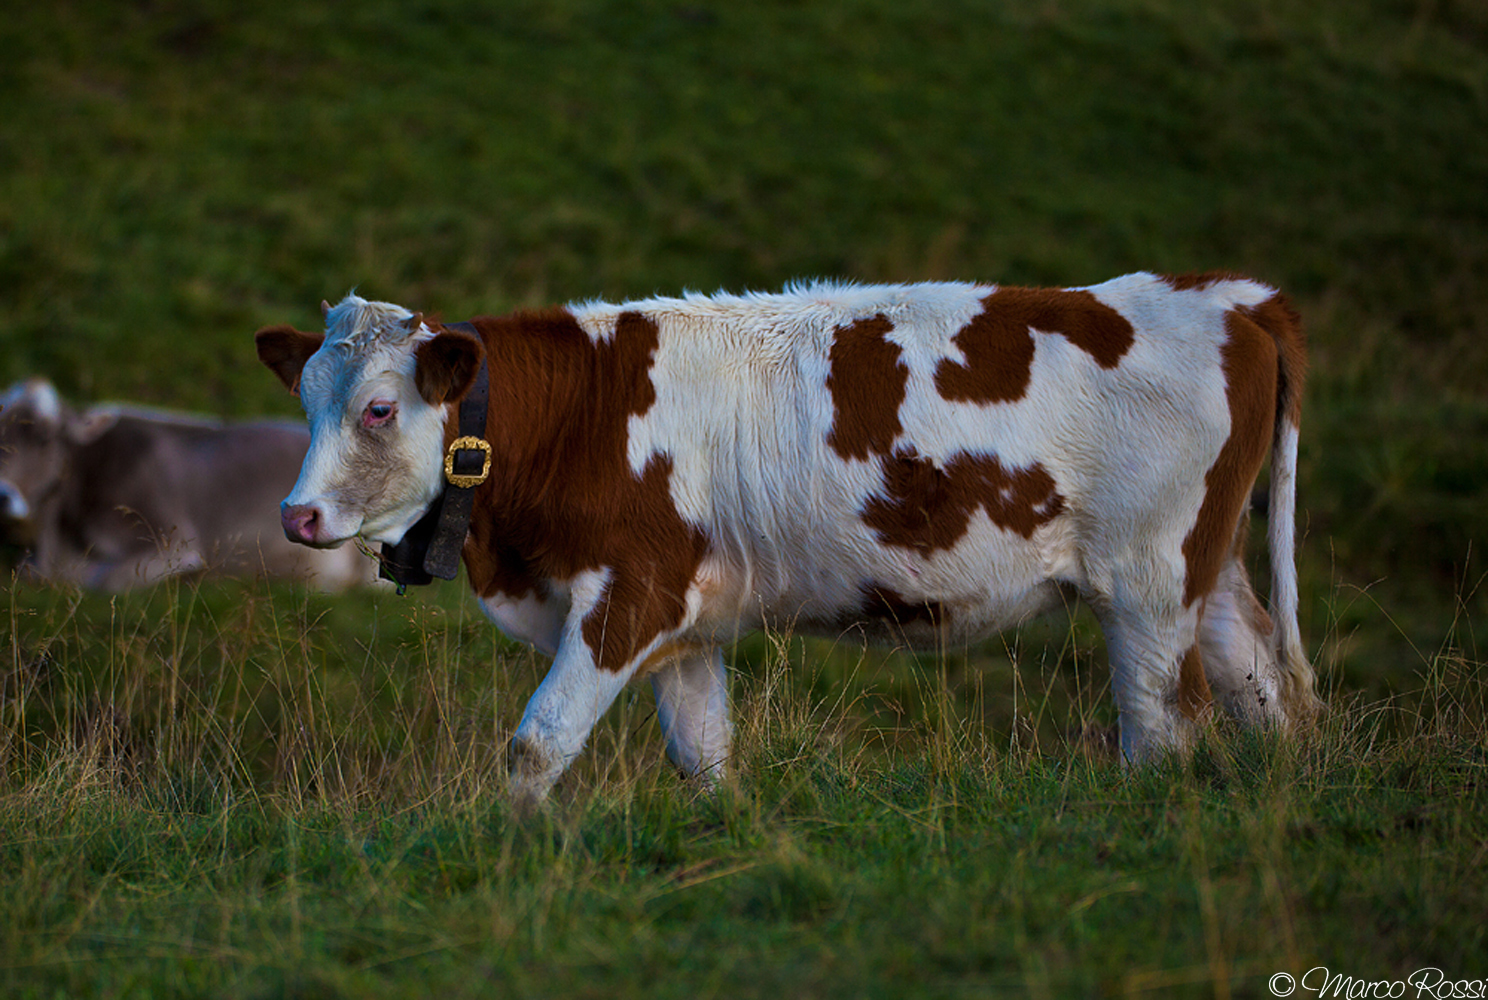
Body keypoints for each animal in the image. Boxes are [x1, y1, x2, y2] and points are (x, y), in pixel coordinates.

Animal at [255, 272, 1319, 807]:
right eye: (305, 399)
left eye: (379, 408)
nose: (296, 516)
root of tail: (1227, 295)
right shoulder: (686, 625)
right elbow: (705, 755)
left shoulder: (630, 594)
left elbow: (537, 742)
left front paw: (515, 852)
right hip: (1208, 570)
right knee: (1262, 683)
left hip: (1147, 580)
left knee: (1163, 721)